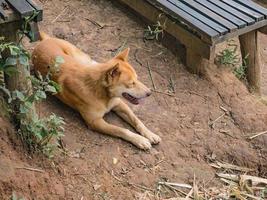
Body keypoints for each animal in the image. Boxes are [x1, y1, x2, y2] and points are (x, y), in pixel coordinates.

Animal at [31, 32, 161, 148]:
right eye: (131, 84)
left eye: (137, 79)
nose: (149, 93)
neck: (103, 94)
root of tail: (45, 40)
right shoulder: (95, 122)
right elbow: (121, 130)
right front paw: (139, 139)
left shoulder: (119, 103)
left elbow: (136, 120)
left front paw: (150, 134)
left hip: (82, 58)